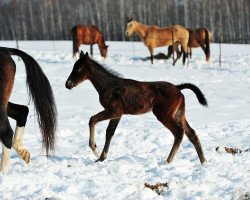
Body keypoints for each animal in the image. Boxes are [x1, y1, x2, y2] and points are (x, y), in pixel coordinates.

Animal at [65, 50, 208, 165]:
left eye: (78, 69)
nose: (68, 84)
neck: (108, 86)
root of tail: (178, 88)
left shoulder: (114, 111)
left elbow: (92, 120)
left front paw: (95, 149)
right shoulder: (118, 114)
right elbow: (109, 133)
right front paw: (101, 158)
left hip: (163, 114)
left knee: (179, 132)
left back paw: (168, 161)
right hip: (179, 113)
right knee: (192, 134)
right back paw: (204, 162)